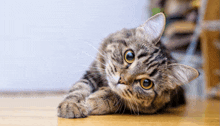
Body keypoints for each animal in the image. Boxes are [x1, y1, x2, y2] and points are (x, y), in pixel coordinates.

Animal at [57, 12, 199, 118]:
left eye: (146, 83)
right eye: (129, 56)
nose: (121, 79)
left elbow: (117, 98)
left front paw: (94, 101)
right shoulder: (92, 73)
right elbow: (78, 89)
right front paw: (70, 106)